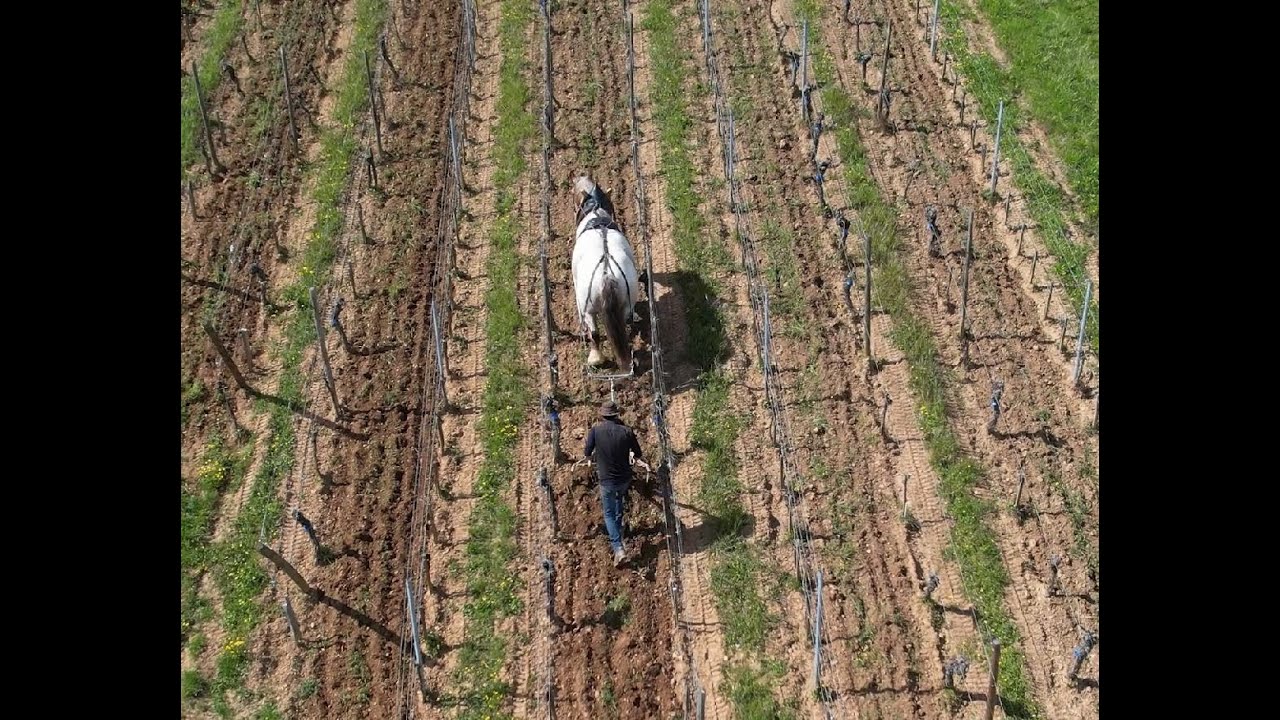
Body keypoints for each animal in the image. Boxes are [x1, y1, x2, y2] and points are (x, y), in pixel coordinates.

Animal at [571, 175, 640, 369]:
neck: (596, 214)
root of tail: (607, 273)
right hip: (626, 304)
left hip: (588, 309)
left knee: (594, 333)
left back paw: (596, 358)